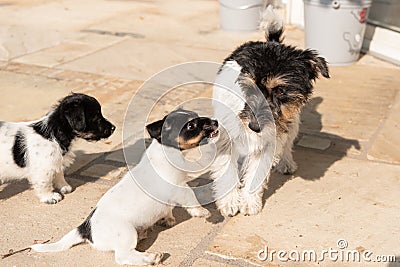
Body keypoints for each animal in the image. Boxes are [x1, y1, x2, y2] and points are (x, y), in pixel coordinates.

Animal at [31, 109, 219, 266]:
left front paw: (168, 218)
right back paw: (151, 257)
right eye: (190, 125)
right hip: (126, 234)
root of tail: (85, 229)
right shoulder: (180, 188)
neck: (168, 153)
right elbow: (191, 198)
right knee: (122, 257)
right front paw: (202, 212)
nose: (216, 121)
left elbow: (168, 209)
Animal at [211, 6, 330, 218]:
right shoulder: (225, 138)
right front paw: (230, 203)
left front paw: (249, 203)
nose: (254, 126)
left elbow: (256, 173)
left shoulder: (268, 143)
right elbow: (226, 170)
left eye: (281, 90)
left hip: (293, 122)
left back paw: (286, 163)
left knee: (288, 143)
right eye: (248, 87)